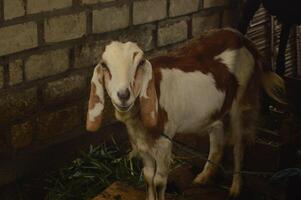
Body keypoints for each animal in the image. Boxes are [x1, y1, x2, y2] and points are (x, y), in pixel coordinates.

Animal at [85, 28, 284, 200]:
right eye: (104, 66)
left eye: (140, 63)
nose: (124, 95)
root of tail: (240, 36)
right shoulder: (142, 144)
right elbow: (148, 177)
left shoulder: (165, 142)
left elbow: (158, 181)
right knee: (218, 135)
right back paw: (204, 177)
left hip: (242, 99)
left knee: (239, 144)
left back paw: (235, 188)